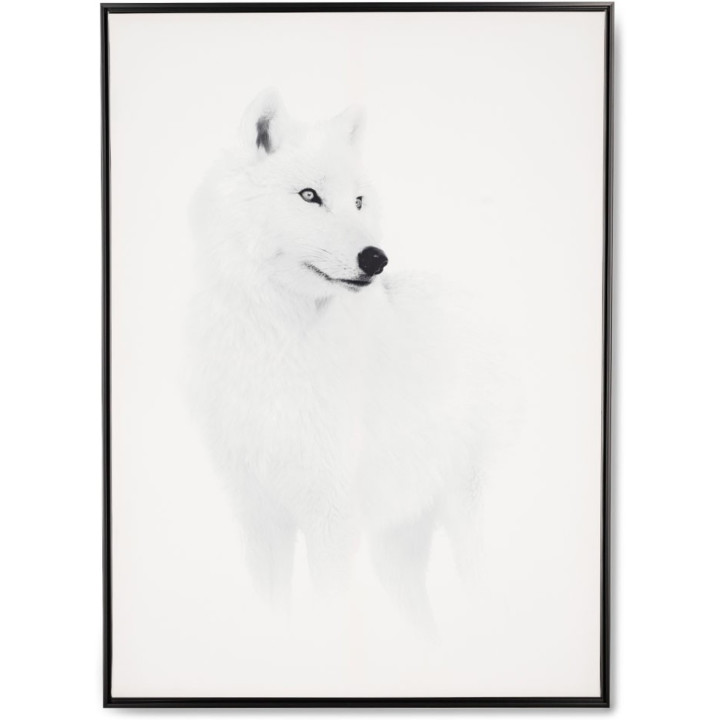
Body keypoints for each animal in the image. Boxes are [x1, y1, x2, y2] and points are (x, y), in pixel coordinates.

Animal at [189, 90, 487, 627]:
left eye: (358, 201)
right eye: (309, 196)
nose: (377, 258)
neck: (279, 346)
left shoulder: (332, 518)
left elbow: (329, 612)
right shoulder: (259, 518)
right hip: (396, 551)